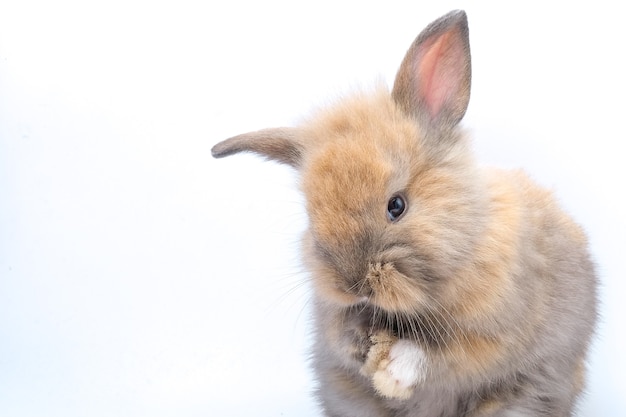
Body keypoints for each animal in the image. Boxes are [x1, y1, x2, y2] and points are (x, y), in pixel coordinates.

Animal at [210, 8, 596, 416]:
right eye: (311, 216)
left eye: (396, 205)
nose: (354, 285)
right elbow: (341, 336)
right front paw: (362, 347)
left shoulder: (491, 335)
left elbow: (440, 355)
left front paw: (394, 372)